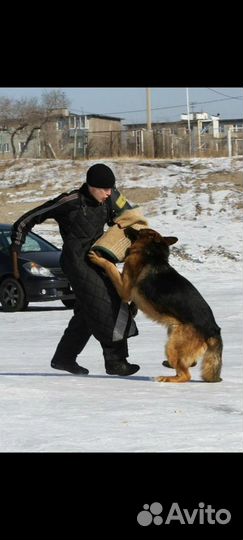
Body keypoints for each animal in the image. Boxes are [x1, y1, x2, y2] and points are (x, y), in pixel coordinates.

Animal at [89, 228, 222, 384]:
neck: (153, 253)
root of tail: (213, 329)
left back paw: (166, 378)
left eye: (140, 230)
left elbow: (110, 267)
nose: (125, 228)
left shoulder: (124, 288)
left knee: (185, 375)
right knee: (189, 364)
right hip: (174, 334)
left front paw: (99, 259)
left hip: (172, 345)